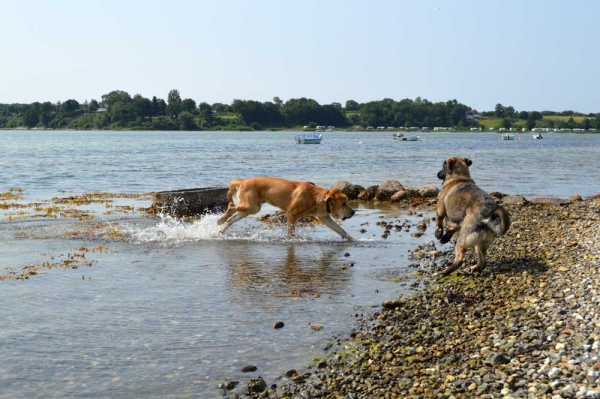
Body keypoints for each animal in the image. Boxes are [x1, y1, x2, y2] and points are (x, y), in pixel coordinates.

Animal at [217, 178, 354, 241]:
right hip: (252, 207)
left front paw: (353, 238)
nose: (353, 212)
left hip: (249, 209)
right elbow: (291, 232)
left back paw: (221, 230)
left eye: (347, 202)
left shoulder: (325, 217)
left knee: (231, 219)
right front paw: (290, 240)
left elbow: (340, 229)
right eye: (343, 204)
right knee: (231, 206)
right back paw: (220, 220)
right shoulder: (292, 215)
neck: (317, 198)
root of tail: (243, 181)